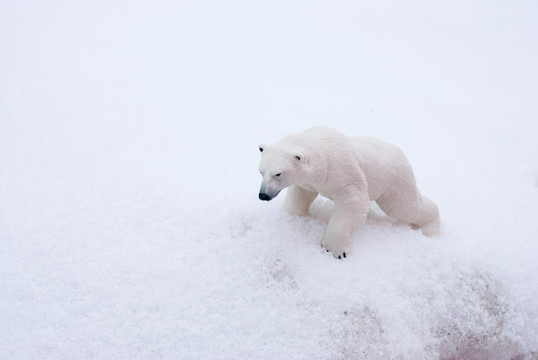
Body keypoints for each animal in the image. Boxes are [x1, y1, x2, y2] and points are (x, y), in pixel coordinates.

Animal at [258, 126, 438, 258]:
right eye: (261, 171)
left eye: (278, 173)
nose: (263, 195)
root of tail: (401, 153)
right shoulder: (309, 182)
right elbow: (301, 194)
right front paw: (297, 216)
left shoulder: (342, 172)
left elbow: (354, 203)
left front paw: (334, 249)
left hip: (393, 181)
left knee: (404, 207)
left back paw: (430, 228)